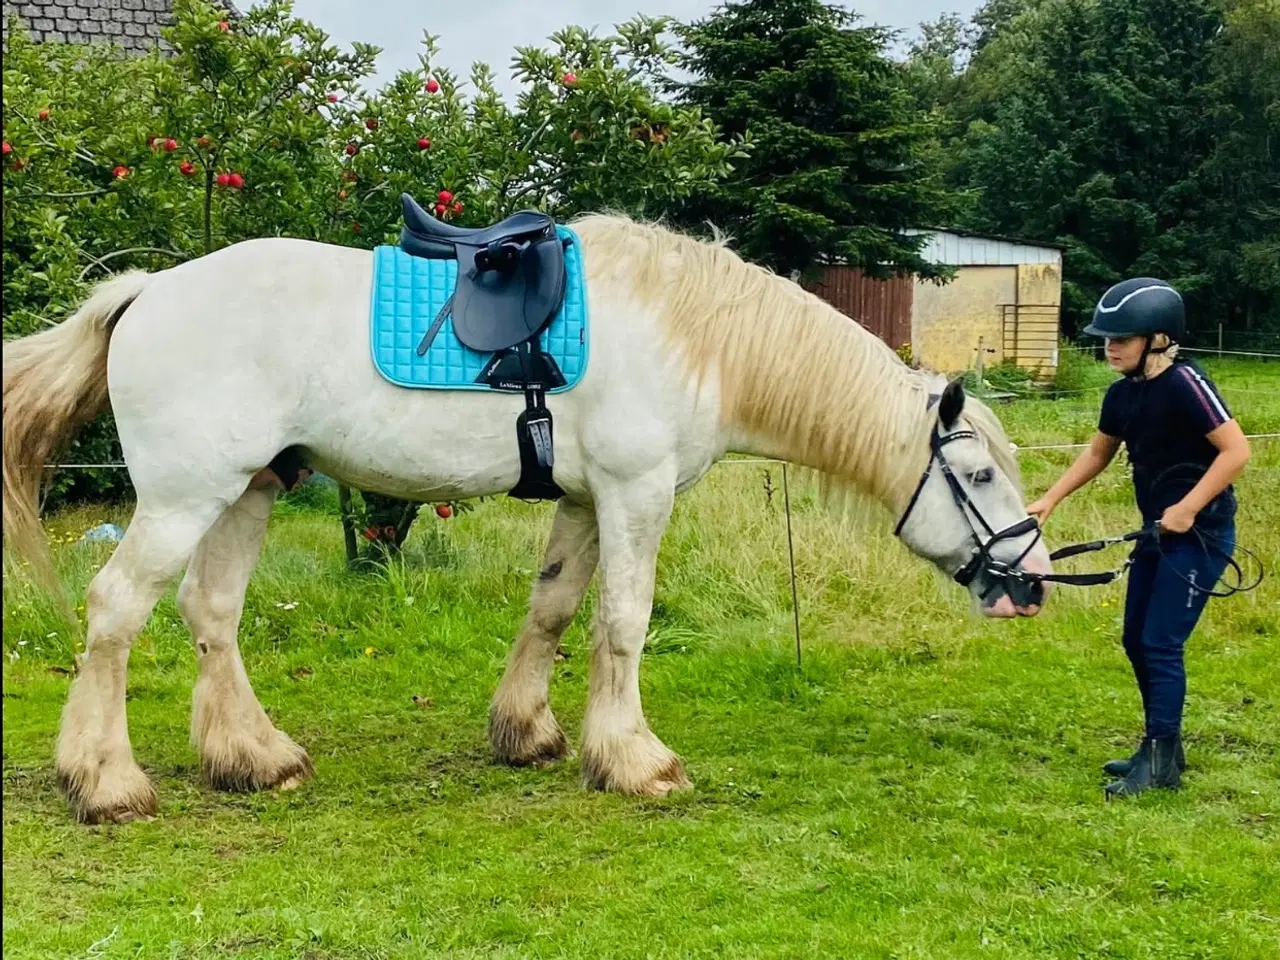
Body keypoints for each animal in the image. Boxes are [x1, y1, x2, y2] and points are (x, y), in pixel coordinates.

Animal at [2, 213, 1049, 824]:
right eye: (979, 475)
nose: (1032, 584)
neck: (693, 336)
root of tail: (148, 291)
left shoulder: (586, 501)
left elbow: (552, 611)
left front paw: (530, 733)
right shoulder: (636, 493)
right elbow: (624, 622)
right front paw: (634, 760)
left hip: (248, 488)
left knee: (211, 613)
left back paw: (255, 759)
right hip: (187, 497)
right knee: (115, 611)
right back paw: (104, 782)